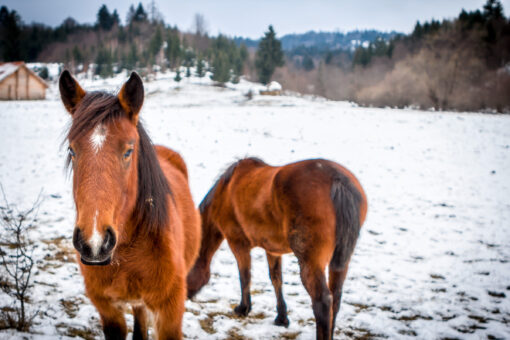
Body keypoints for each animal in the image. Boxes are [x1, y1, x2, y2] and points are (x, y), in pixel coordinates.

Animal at [187, 158, 366, 340]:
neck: (224, 193)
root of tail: (338, 180)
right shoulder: (272, 250)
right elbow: (276, 279)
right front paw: (281, 317)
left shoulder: (238, 244)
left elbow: (245, 276)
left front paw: (243, 308)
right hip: (340, 263)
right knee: (335, 297)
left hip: (310, 263)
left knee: (322, 302)